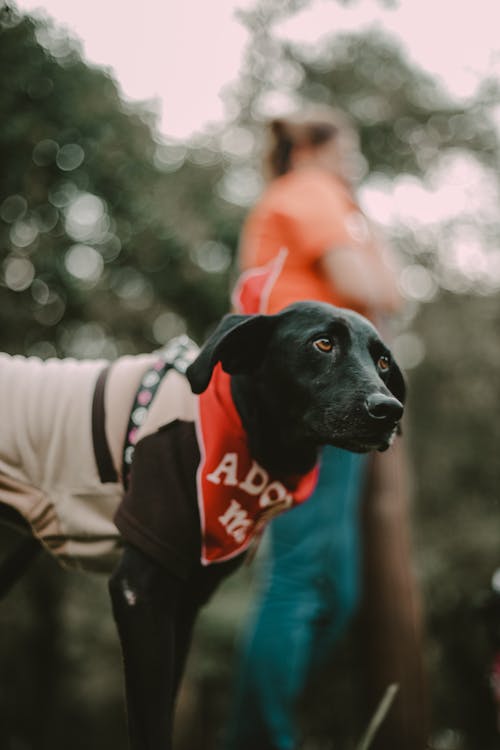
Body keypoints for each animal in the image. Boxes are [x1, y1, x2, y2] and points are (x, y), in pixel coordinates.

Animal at [0, 302, 406, 748]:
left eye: (384, 362)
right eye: (323, 343)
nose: (389, 411)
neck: (241, 430)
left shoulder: (185, 600)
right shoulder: (140, 591)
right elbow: (151, 723)